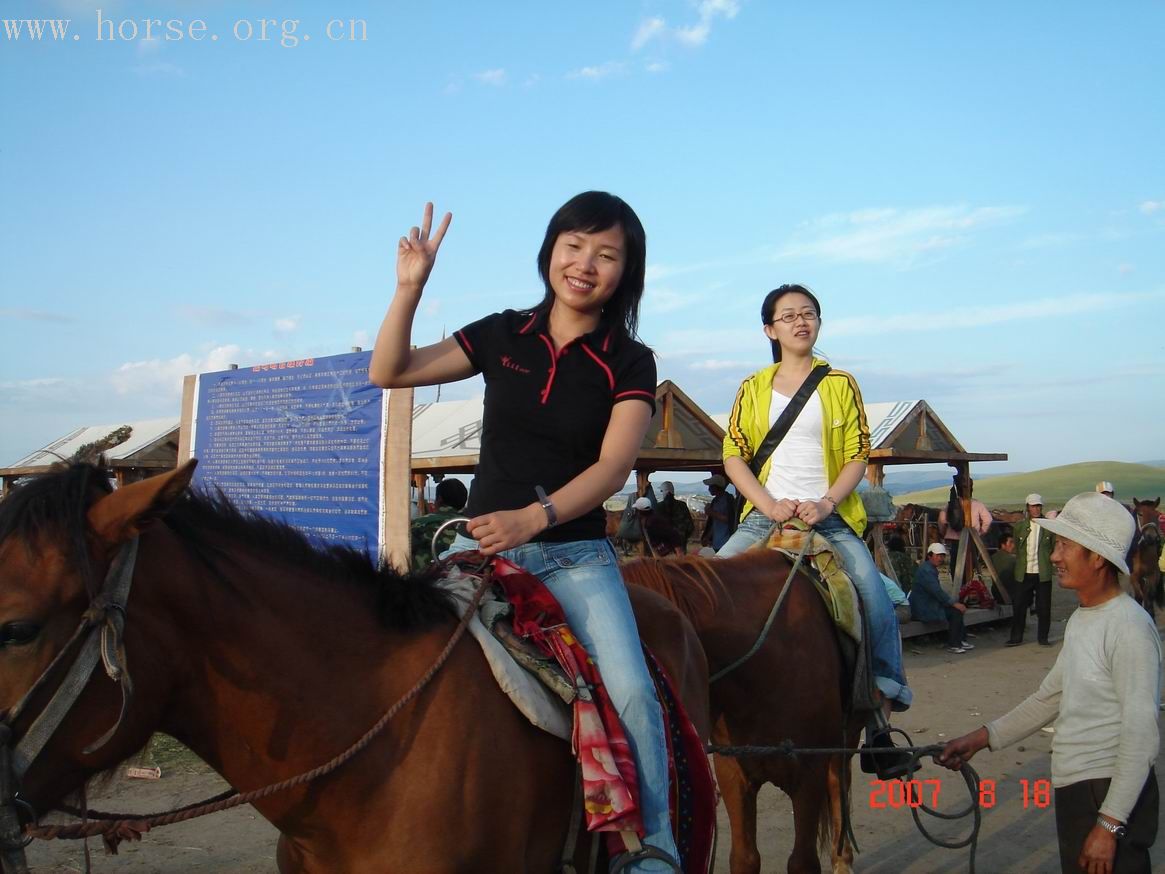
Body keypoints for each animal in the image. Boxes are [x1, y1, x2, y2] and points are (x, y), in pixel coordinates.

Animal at [619, 554, 866, 874]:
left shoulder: (809, 771)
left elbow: (802, 861)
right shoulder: (733, 773)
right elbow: (744, 858)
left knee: (839, 786)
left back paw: (842, 859)